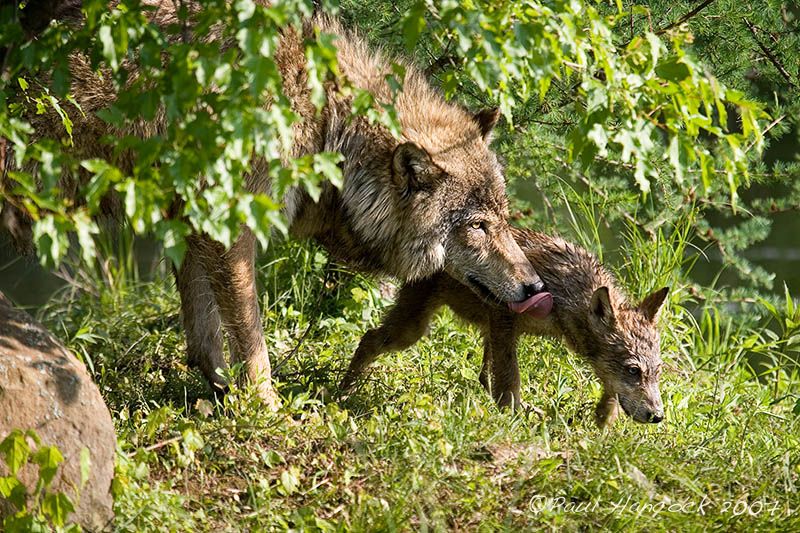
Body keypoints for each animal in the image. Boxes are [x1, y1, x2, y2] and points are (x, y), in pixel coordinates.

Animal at [4, 4, 544, 404]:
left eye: (503, 219)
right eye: (478, 226)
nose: (535, 286)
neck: (322, 121)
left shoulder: (191, 216)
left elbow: (203, 330)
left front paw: (219, 391)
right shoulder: (230, 221)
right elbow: (250, 334)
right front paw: (265, 407)